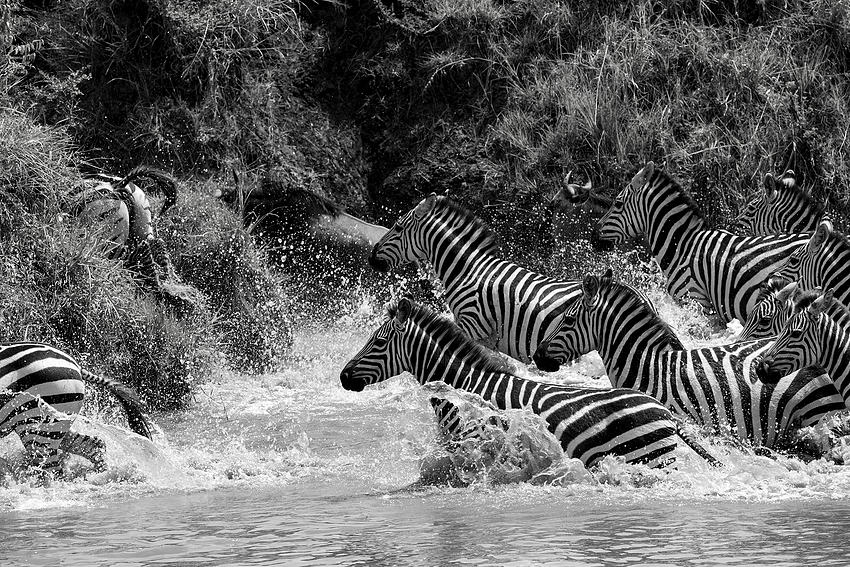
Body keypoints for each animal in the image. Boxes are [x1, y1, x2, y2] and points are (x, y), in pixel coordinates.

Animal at [0, 342, 152, 470]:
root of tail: (76, 365)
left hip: (37, 424)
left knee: (50, 469)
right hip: (54, 422)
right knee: (93, 445)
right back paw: (100, 475)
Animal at [338, 298, 716, 470]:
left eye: (377, 343)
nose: (342, 376)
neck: (462, 387)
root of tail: (665, 412)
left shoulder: (477, 444)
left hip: (648, 459)